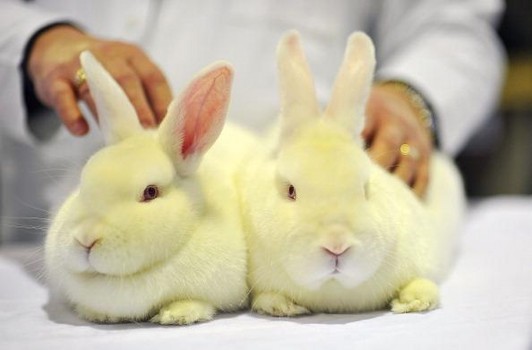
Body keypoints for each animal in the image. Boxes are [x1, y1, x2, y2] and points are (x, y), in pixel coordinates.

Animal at [45, 50, 254, 324]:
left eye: (150, 192)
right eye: (83, 182)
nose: (85, 239)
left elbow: (196, 301)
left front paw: (178, 314)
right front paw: (96, 313)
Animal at [238, 32, 466, 318]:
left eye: (366, 189)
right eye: (291, 191)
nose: (337, 245)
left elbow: (423, 282)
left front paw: (413, 302)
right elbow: (266, 296)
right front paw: (284, 306)